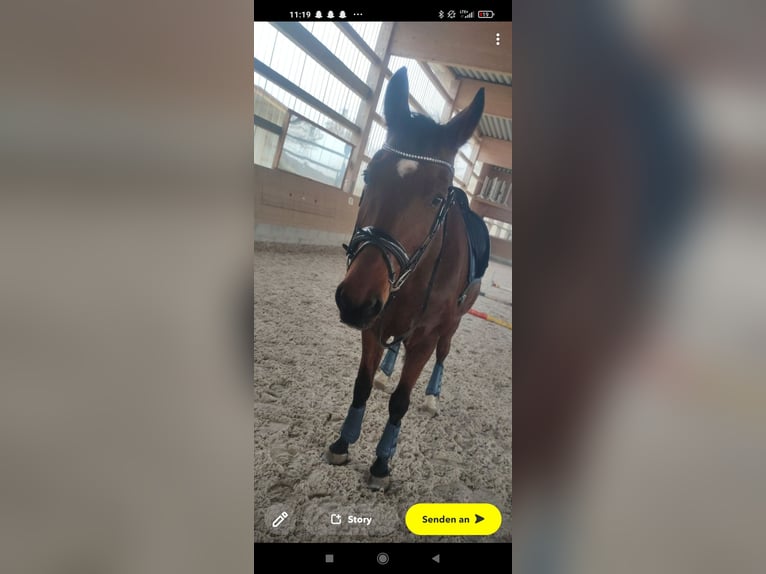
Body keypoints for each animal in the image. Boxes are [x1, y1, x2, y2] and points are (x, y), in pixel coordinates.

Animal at [328, 67, 490, 490]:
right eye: (369, 174)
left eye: (437, 198)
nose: (355, 300)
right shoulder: (374, 321)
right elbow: (362, 384)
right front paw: (343, 442)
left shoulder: (426, 336)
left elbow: (400, 400)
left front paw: (382, 462)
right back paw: (388, 369)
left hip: (452, 324)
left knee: (443, 354)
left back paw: (432, 396)